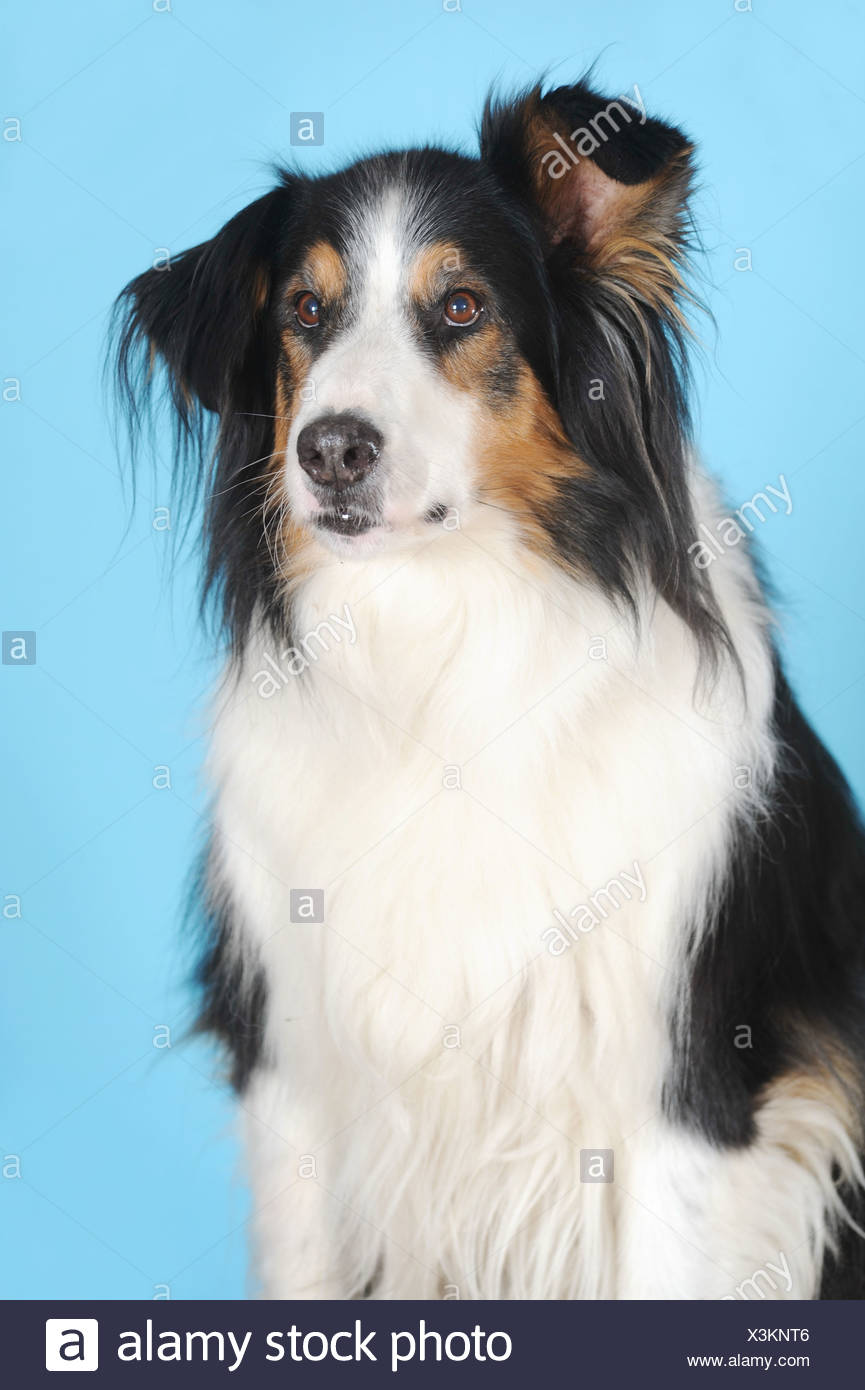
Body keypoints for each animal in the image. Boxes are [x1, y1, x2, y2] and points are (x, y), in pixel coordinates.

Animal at [115, 73, 865, 1289]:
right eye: (304, 312)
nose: (330, 449)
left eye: (462, 308)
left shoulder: (687, 1090)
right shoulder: (293, 1074)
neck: (443, 642)